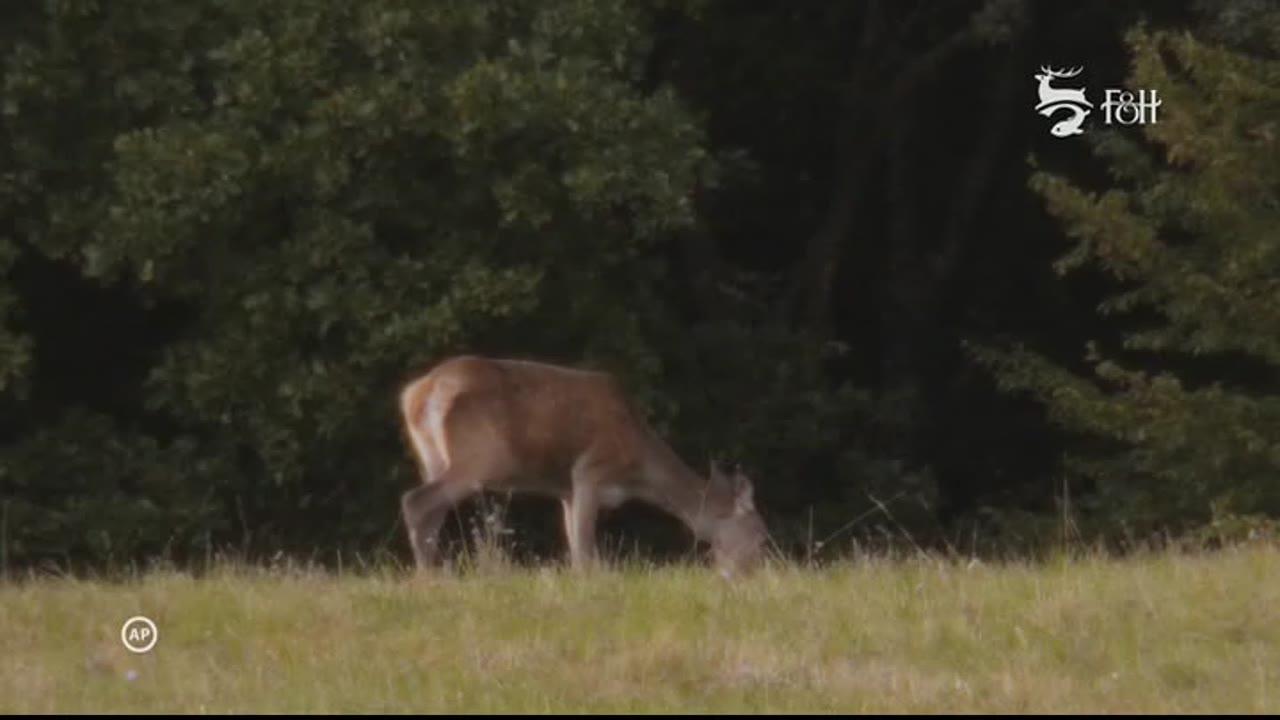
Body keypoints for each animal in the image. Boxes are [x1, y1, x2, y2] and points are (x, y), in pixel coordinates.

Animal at [394, 356, 762, 573]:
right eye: (760, 531)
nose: (756, 568)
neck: (639, 469)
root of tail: (417, 394)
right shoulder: (590, 470)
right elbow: (585, 546)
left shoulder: (566, 488)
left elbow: (572, 540)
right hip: (479, 457)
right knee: (415, 500)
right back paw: (429, 576)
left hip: (433, 458)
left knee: (431, 510)